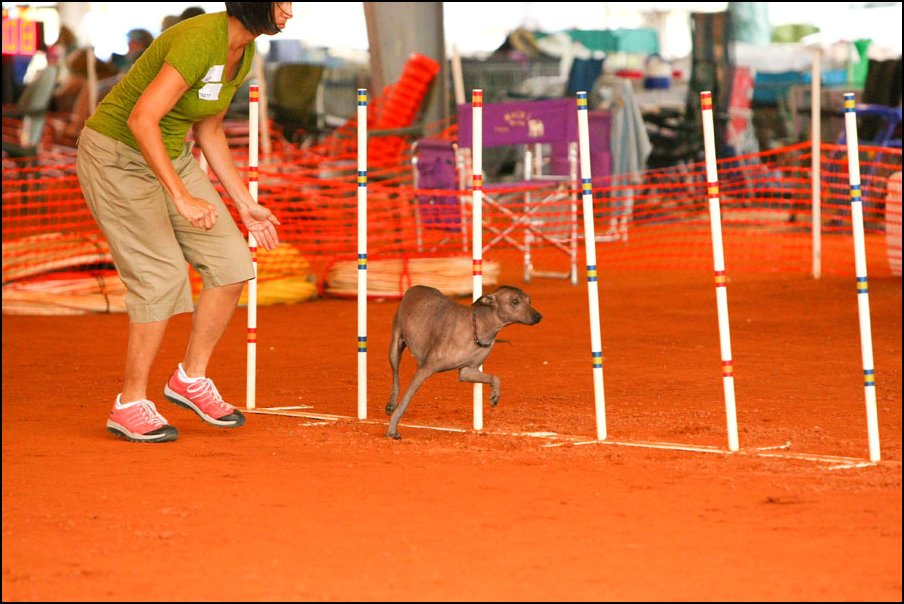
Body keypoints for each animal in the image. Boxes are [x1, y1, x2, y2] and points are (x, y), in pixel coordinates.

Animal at [384, 284, 540, 438]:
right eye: (515, 301)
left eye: (530, 301)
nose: (539, 316)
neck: (478, 328)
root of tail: (414, 288)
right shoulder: (424, 369)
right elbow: (405, 401)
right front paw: (392, 428)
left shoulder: (468, 371)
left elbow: (495, 378)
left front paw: (495, 395)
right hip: (394, 349)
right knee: (396, 378)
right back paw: (392, 403)